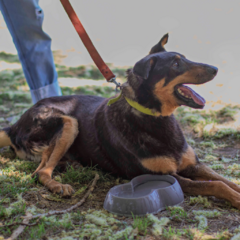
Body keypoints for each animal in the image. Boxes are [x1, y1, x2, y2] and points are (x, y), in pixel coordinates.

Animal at [1, 33, 240, 208]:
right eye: (175, 64)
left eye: (185, 58)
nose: (216, 69)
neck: (155, 117)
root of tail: (14, 126)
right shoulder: (165, 176)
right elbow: (215, 185)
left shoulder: (194, 166)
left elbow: (223, 180)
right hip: (68, 122)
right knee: (40, 172)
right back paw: (58, 185)